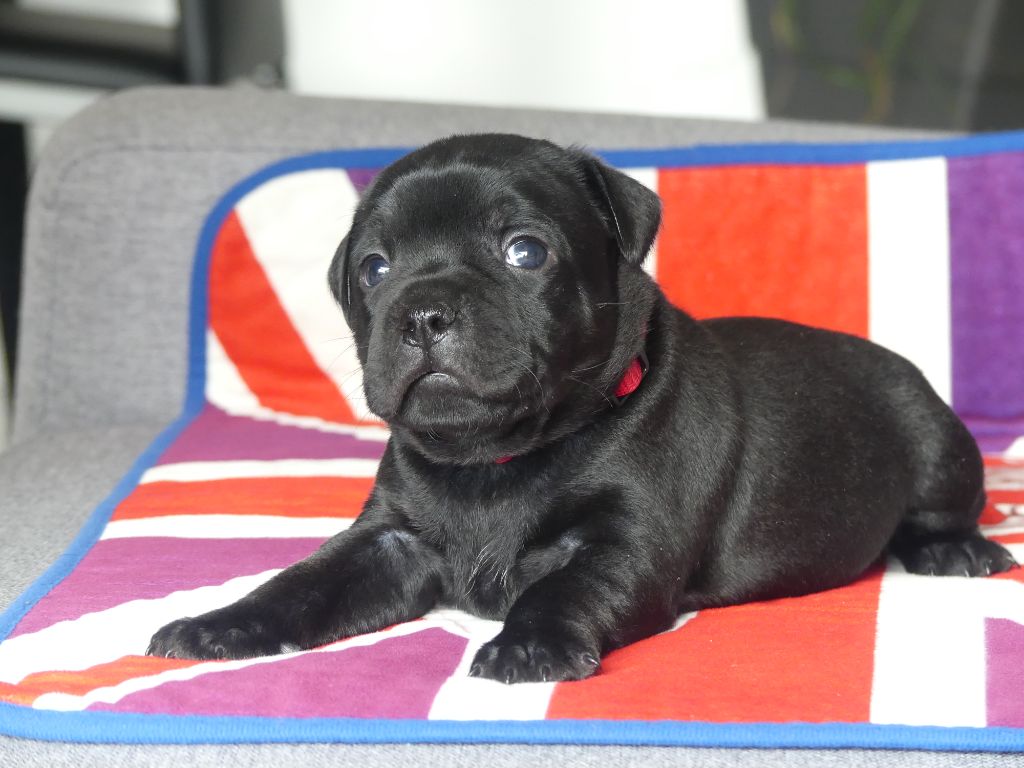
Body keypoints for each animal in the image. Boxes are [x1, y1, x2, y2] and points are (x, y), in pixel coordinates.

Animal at [148, 133, 1016, 683]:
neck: (496, 456)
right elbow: (299, 584)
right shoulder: (388, 541)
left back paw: (958, 551)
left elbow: (561, 589)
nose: (423, 311)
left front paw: (527, 646)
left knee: (942, 509)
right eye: (374, 269)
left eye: (524, 252)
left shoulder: (624, 547)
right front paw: (219, 623)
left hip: (938, 446)